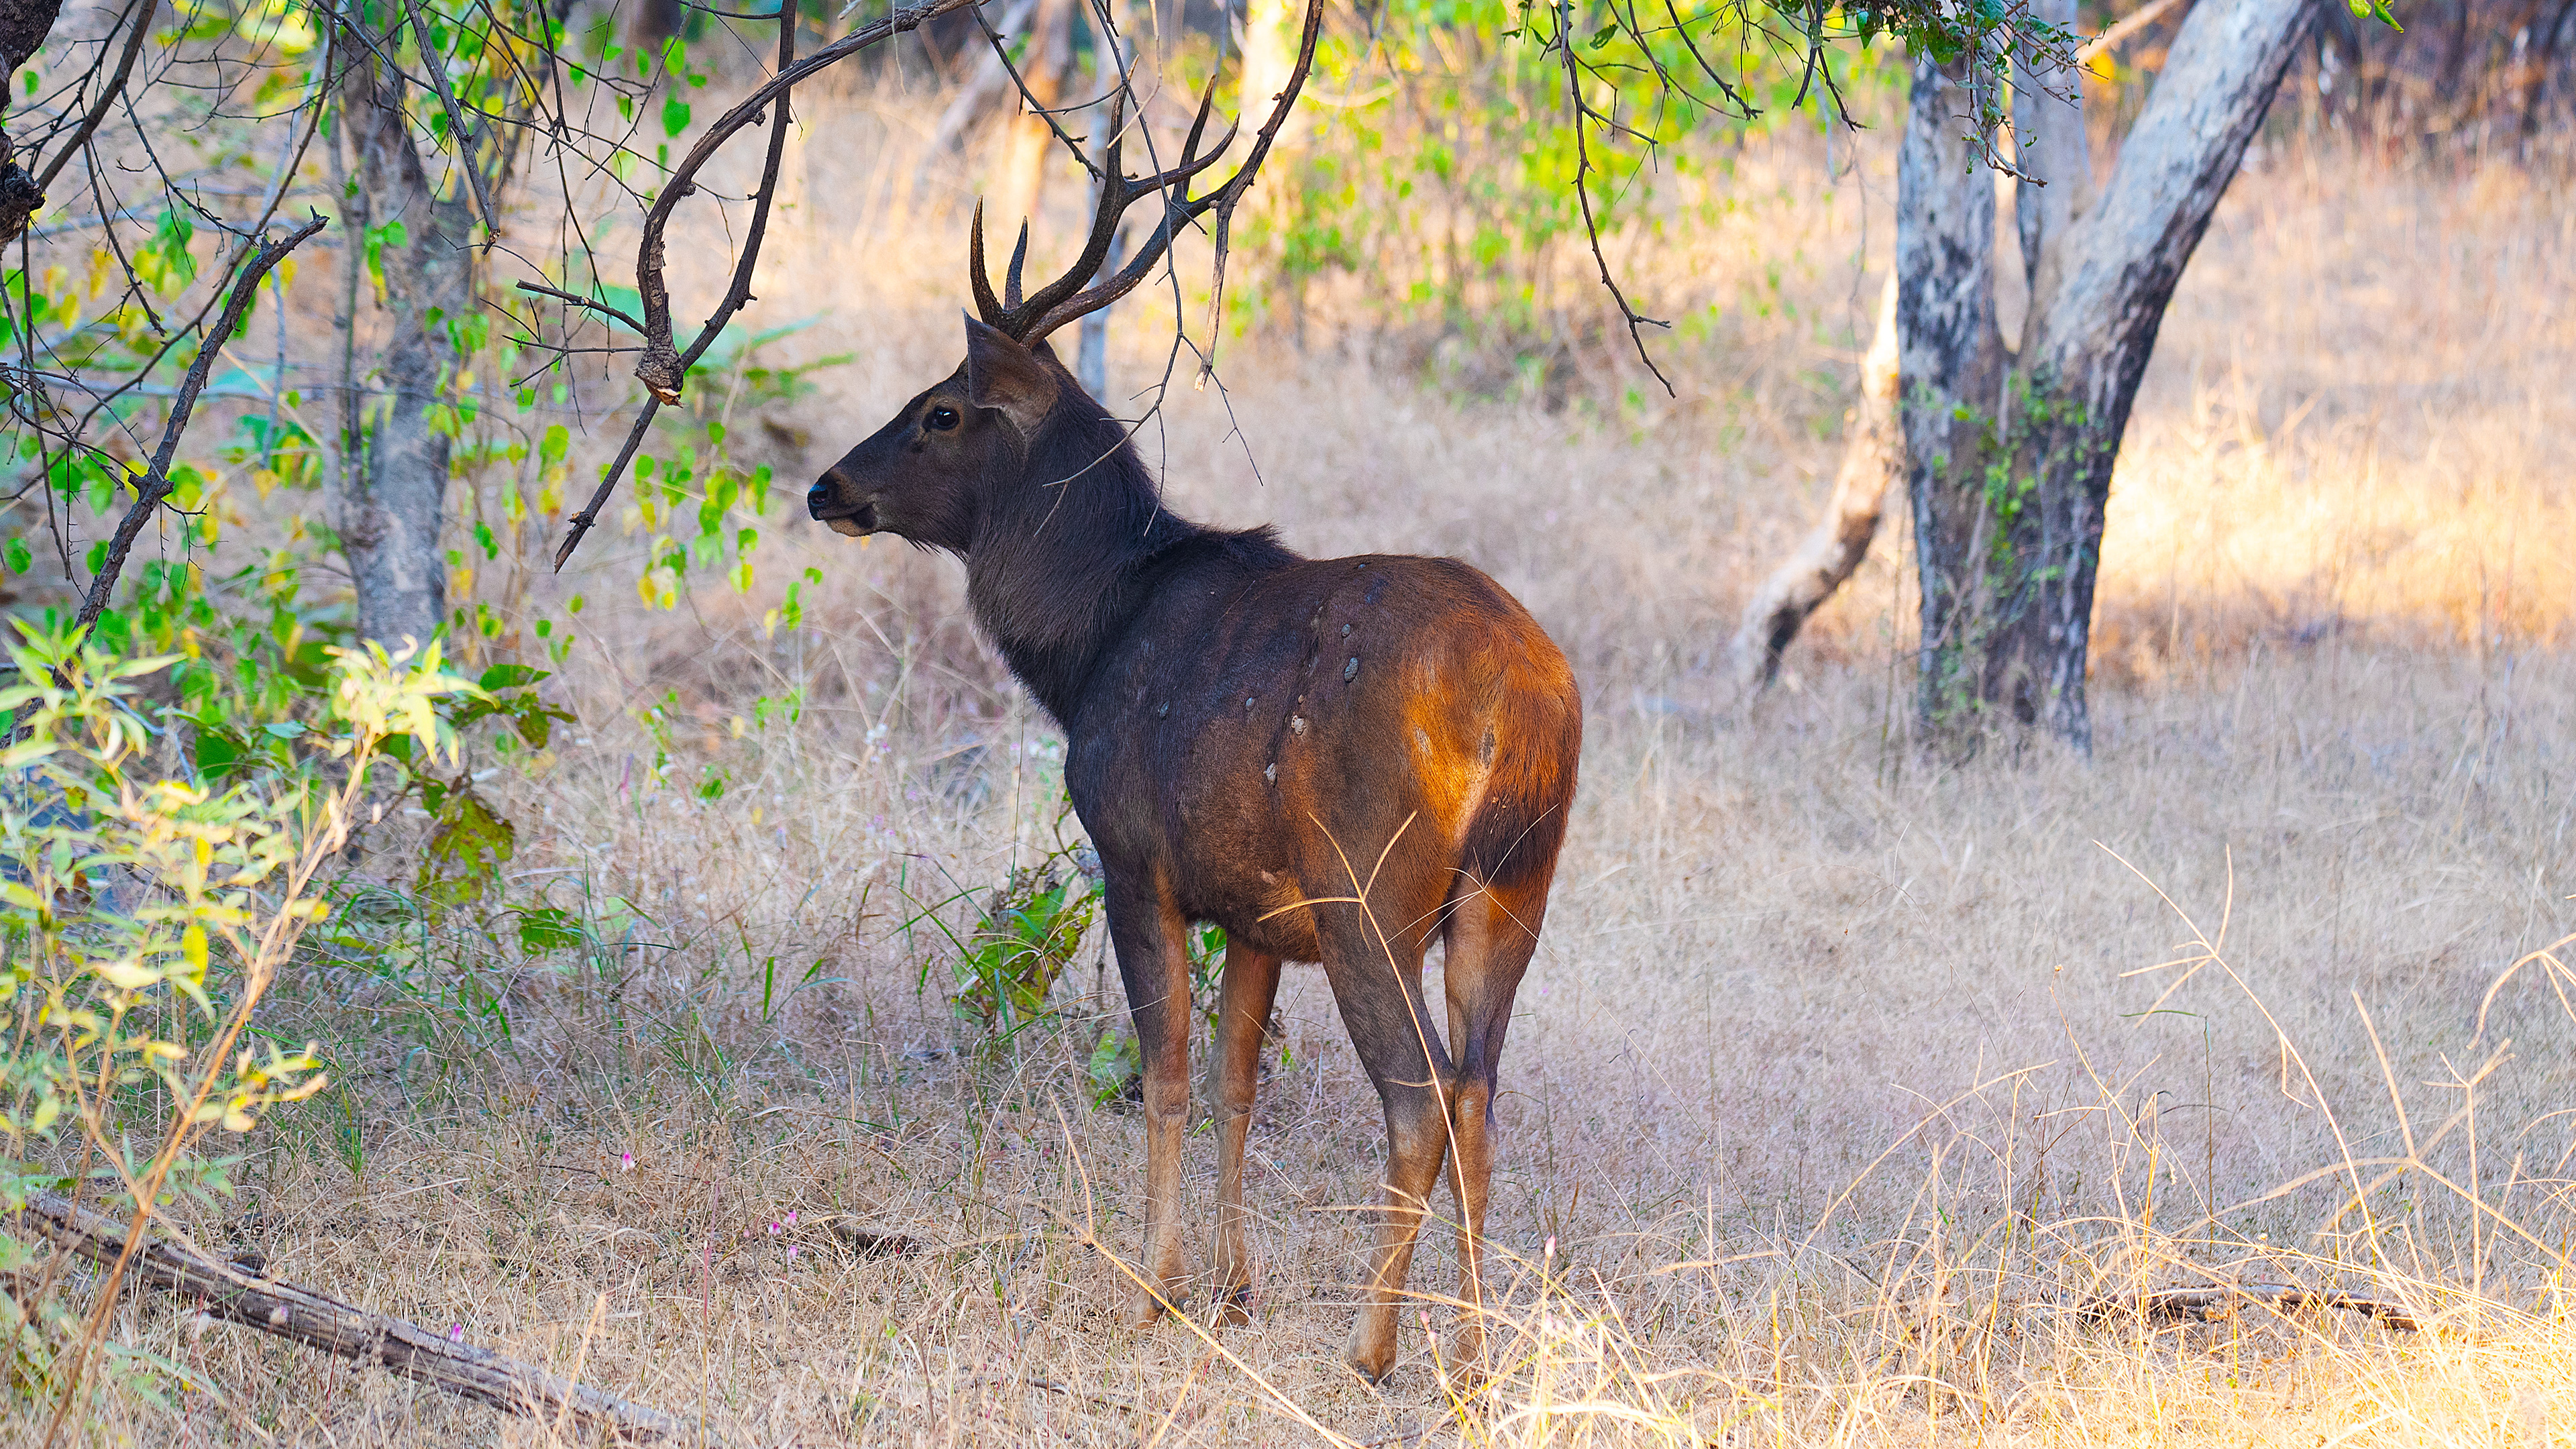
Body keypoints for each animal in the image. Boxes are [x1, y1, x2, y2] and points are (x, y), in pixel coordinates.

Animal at [805, 93, 1581, 1382]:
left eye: (940, 410)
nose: (826, 487)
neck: (1087, 646)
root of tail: (1525, 706)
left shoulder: (1136, 859)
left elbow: (1164, 1077)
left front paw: (1151, 1288)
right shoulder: (1256, 912)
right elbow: (1236, 1088)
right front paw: (1233, 1287)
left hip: (1373, 888)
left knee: (1418, 1093)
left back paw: (1374, 1346)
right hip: (1512, 887)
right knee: (1481, 1089)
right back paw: (1473, 1351)